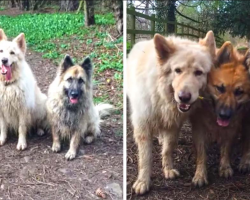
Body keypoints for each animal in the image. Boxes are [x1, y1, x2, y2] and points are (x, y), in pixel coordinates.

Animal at [128, 32, 216, 195]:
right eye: (177, 70)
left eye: (199, 73)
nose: (184, 97)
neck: (162, 95)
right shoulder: (143, 126)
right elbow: (145, 158)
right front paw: (143, 181)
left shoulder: (173, 125)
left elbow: (168, 148)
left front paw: (167, 169)